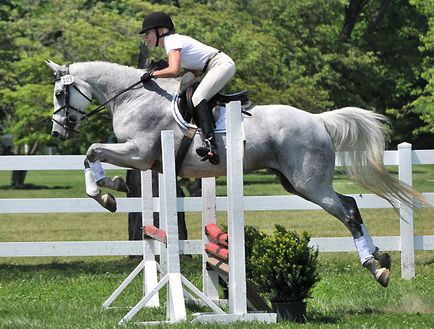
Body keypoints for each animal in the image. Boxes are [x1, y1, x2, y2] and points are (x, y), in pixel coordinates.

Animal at [46, 60, 424, 286]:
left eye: (60, 93)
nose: (57, 131)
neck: (133, 98)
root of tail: (318, 120)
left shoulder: (139, 153)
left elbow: (92, 151)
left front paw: (106, 193)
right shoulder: (144, 160)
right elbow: (92, 156)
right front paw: (112, 187)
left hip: (310, 183)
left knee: (348, 209)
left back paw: (376, 266)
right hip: (295, 183)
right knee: (348, 205)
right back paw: (381, 258)